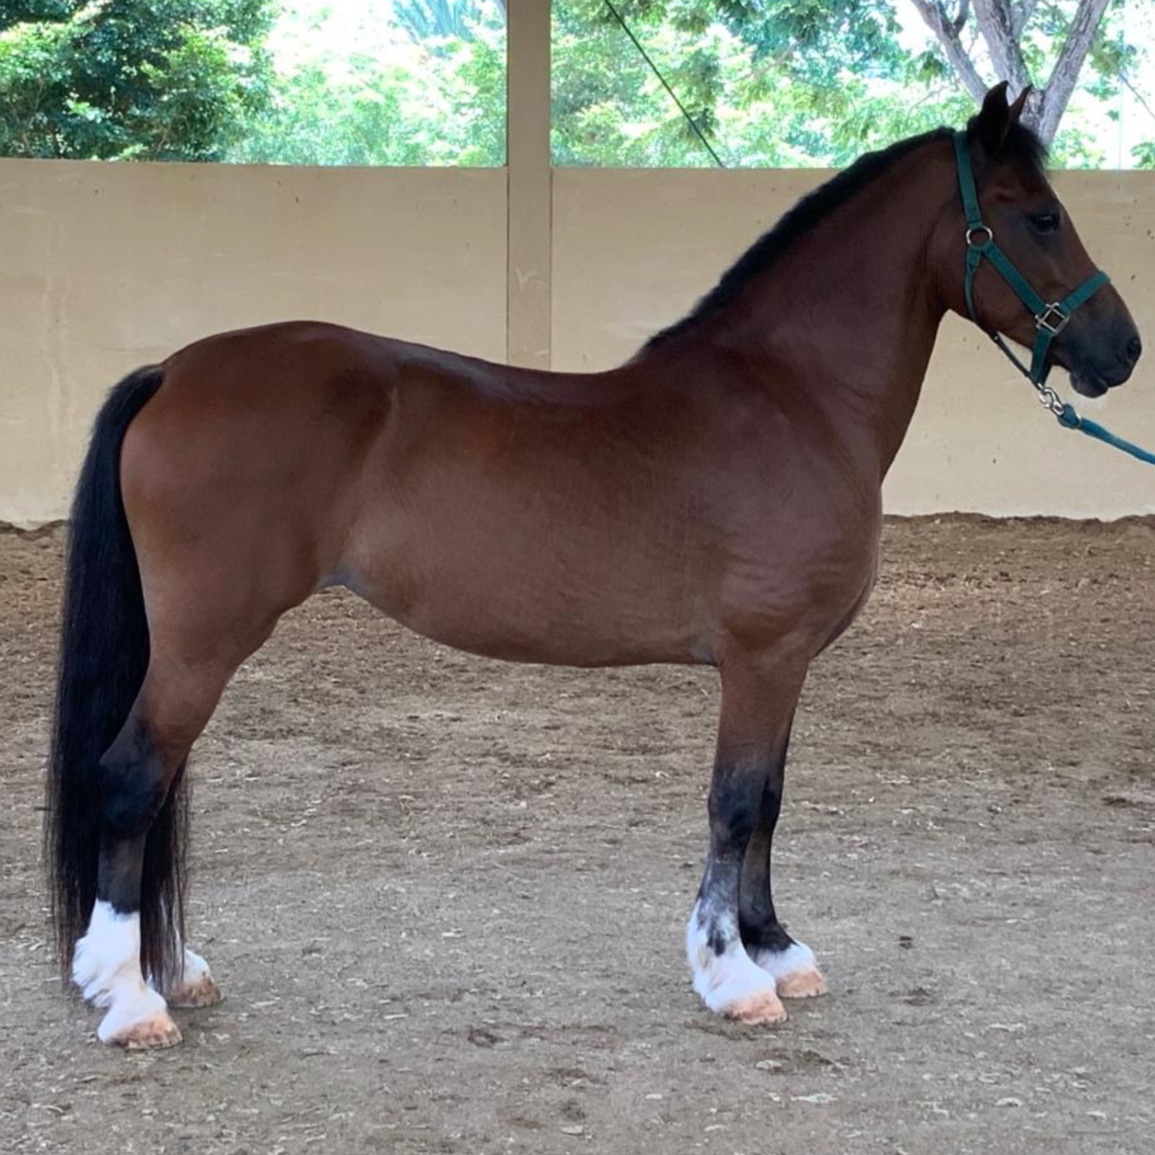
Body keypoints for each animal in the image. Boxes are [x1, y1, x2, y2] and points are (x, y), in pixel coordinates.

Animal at [45, 84, 1141, 1049]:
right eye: (1040, 215)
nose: (1121, 349)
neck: (792, 396)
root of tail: (174, 371)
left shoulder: (787, 666)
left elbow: (771, 801)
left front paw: (776, 948)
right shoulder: (762, 657)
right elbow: (736, 802)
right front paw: (733, 976)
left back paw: (163, 970)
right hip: (205, 639)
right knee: (132, 778)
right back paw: (131, 998)